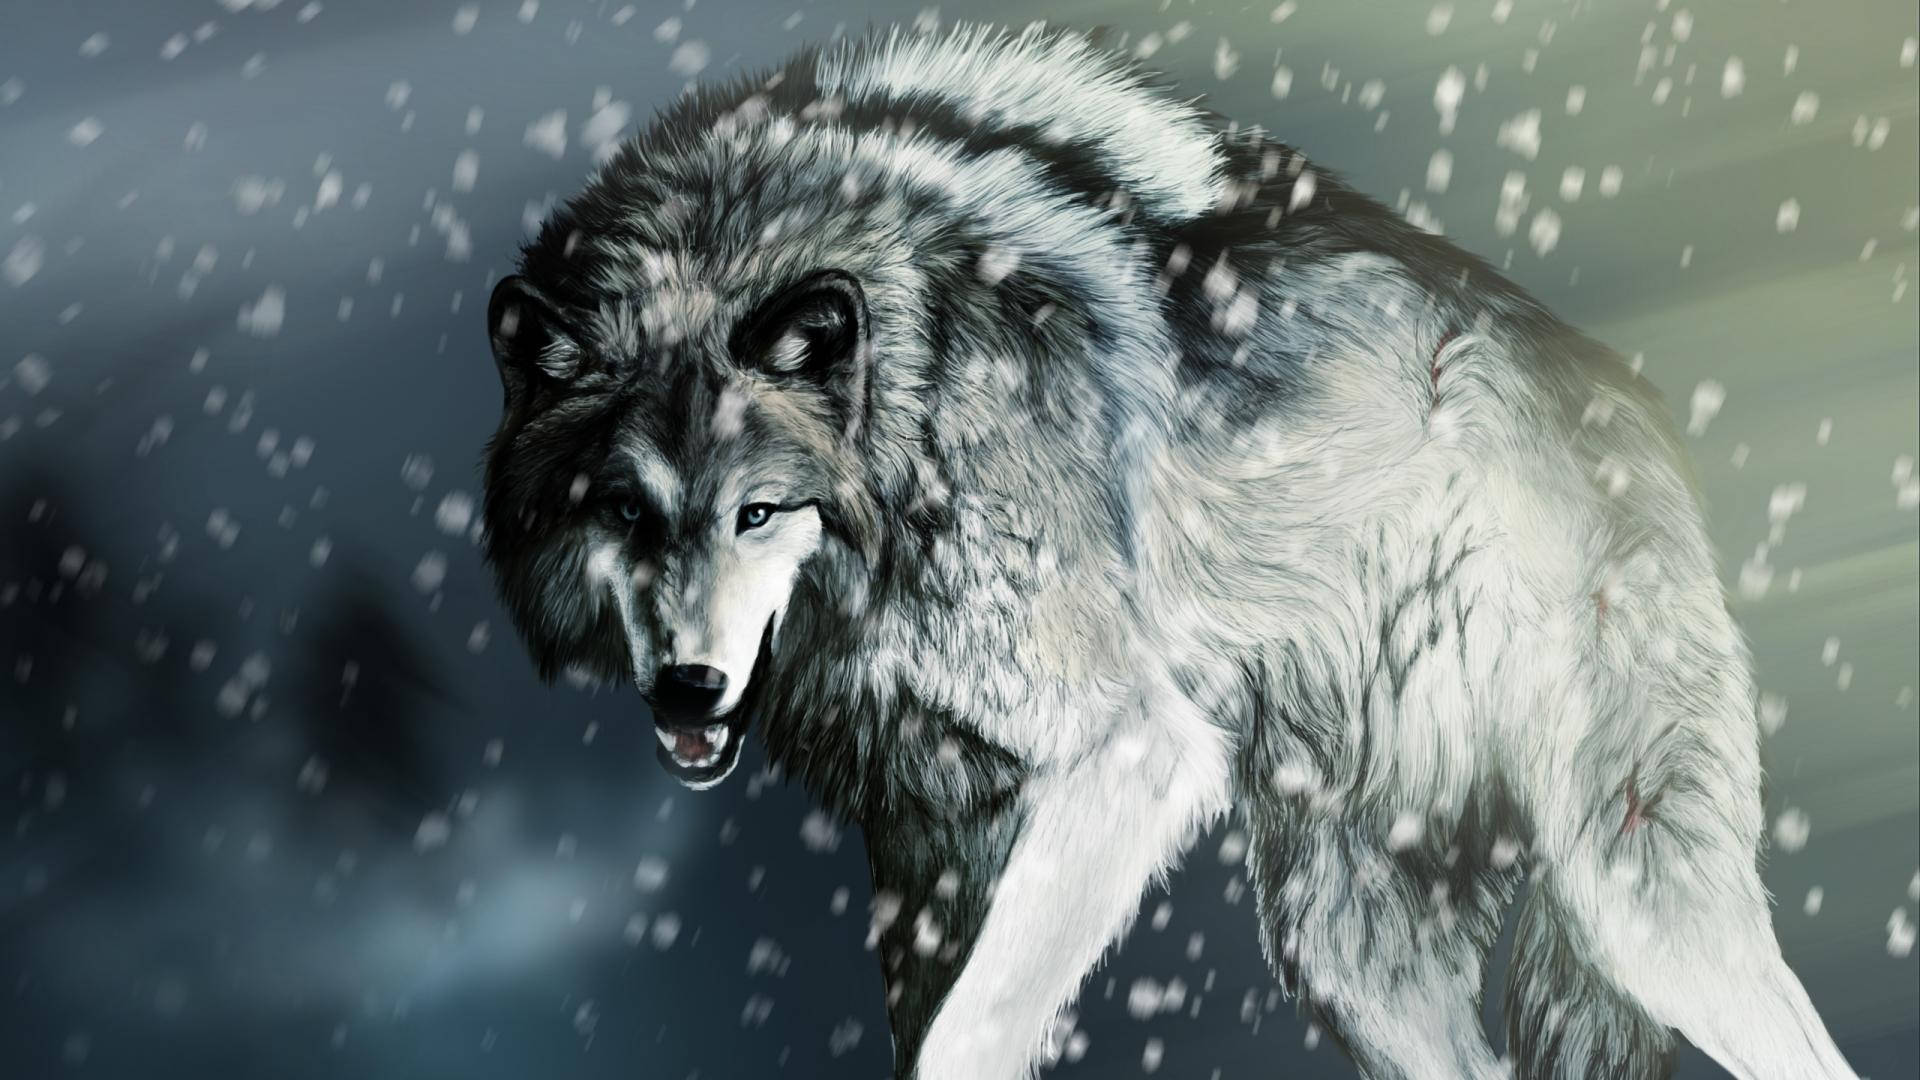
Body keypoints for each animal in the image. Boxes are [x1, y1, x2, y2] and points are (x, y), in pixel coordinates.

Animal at [476, 21, 1859, 1080]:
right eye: (625, 512)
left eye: (759, 512)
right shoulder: (929, 846)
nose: (687, 689)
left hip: (1635, 899)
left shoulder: (1127, 753)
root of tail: (1625, 394)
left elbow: (969, 1035)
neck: (915, 404)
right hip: (1343, 951)